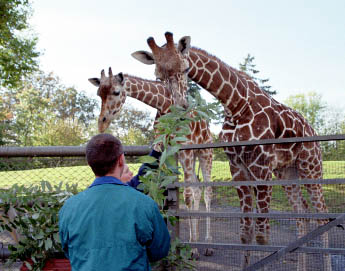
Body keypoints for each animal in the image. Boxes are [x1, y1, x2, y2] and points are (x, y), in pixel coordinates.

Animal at [87, 68, 214, 260]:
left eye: (116, 92)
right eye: (98, 93)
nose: (102, 123)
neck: (164, 103)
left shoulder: (184, 149)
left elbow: (187, 196)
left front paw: (193, 249)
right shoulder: (166, 151)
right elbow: (161, 186)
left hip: (205, 153)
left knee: (206, 191)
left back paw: (206, 244)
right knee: (197, 188)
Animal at [132, 32, 330, 271]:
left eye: (187, 68)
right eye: (158, 76)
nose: (179, 108)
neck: (236, 104)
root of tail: (312, 130)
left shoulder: (261, 167)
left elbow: (262, 236)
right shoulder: (237, 167)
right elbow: (245, 233)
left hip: (311, 167)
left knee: (322, 216)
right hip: (286, 171)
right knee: (302, 214)